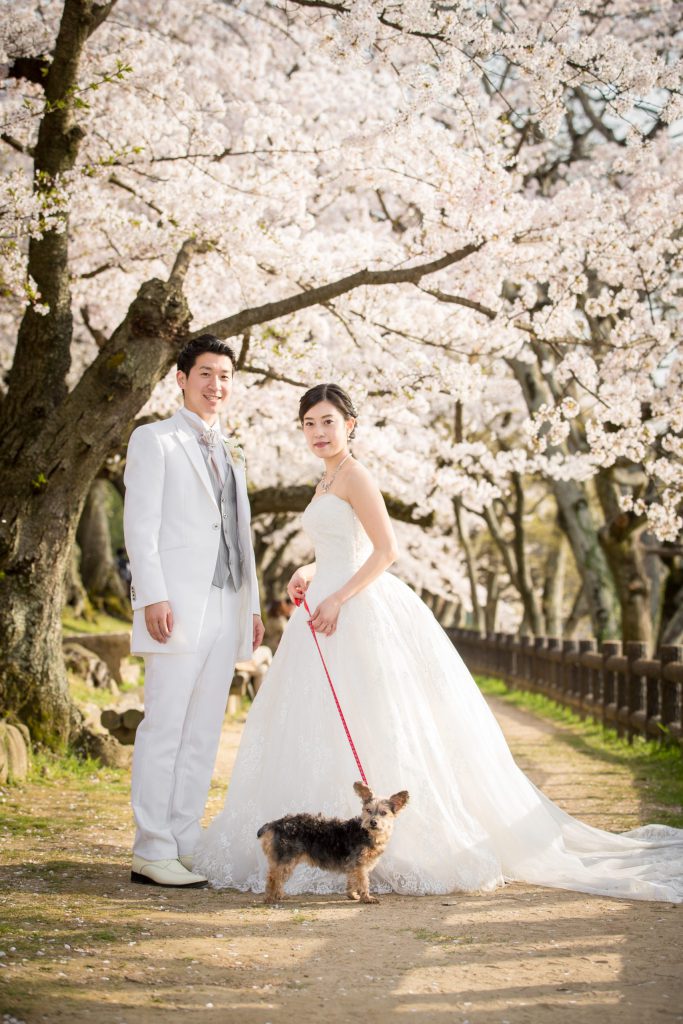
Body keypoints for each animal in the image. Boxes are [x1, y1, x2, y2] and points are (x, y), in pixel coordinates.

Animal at [257, 781, 409, 904]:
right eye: (368, 810)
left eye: (383, 813)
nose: (373, 822)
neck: (367, 833)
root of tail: (275, 824)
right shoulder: (359, 865)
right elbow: (363, 882)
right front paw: (366, 898)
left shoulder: (353, 865)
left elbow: (352, 880)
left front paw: (352, 895)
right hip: (285, 859)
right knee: (272, 878)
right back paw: (269, 899)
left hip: (288, 861)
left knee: (279, 879)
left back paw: (280, 895)